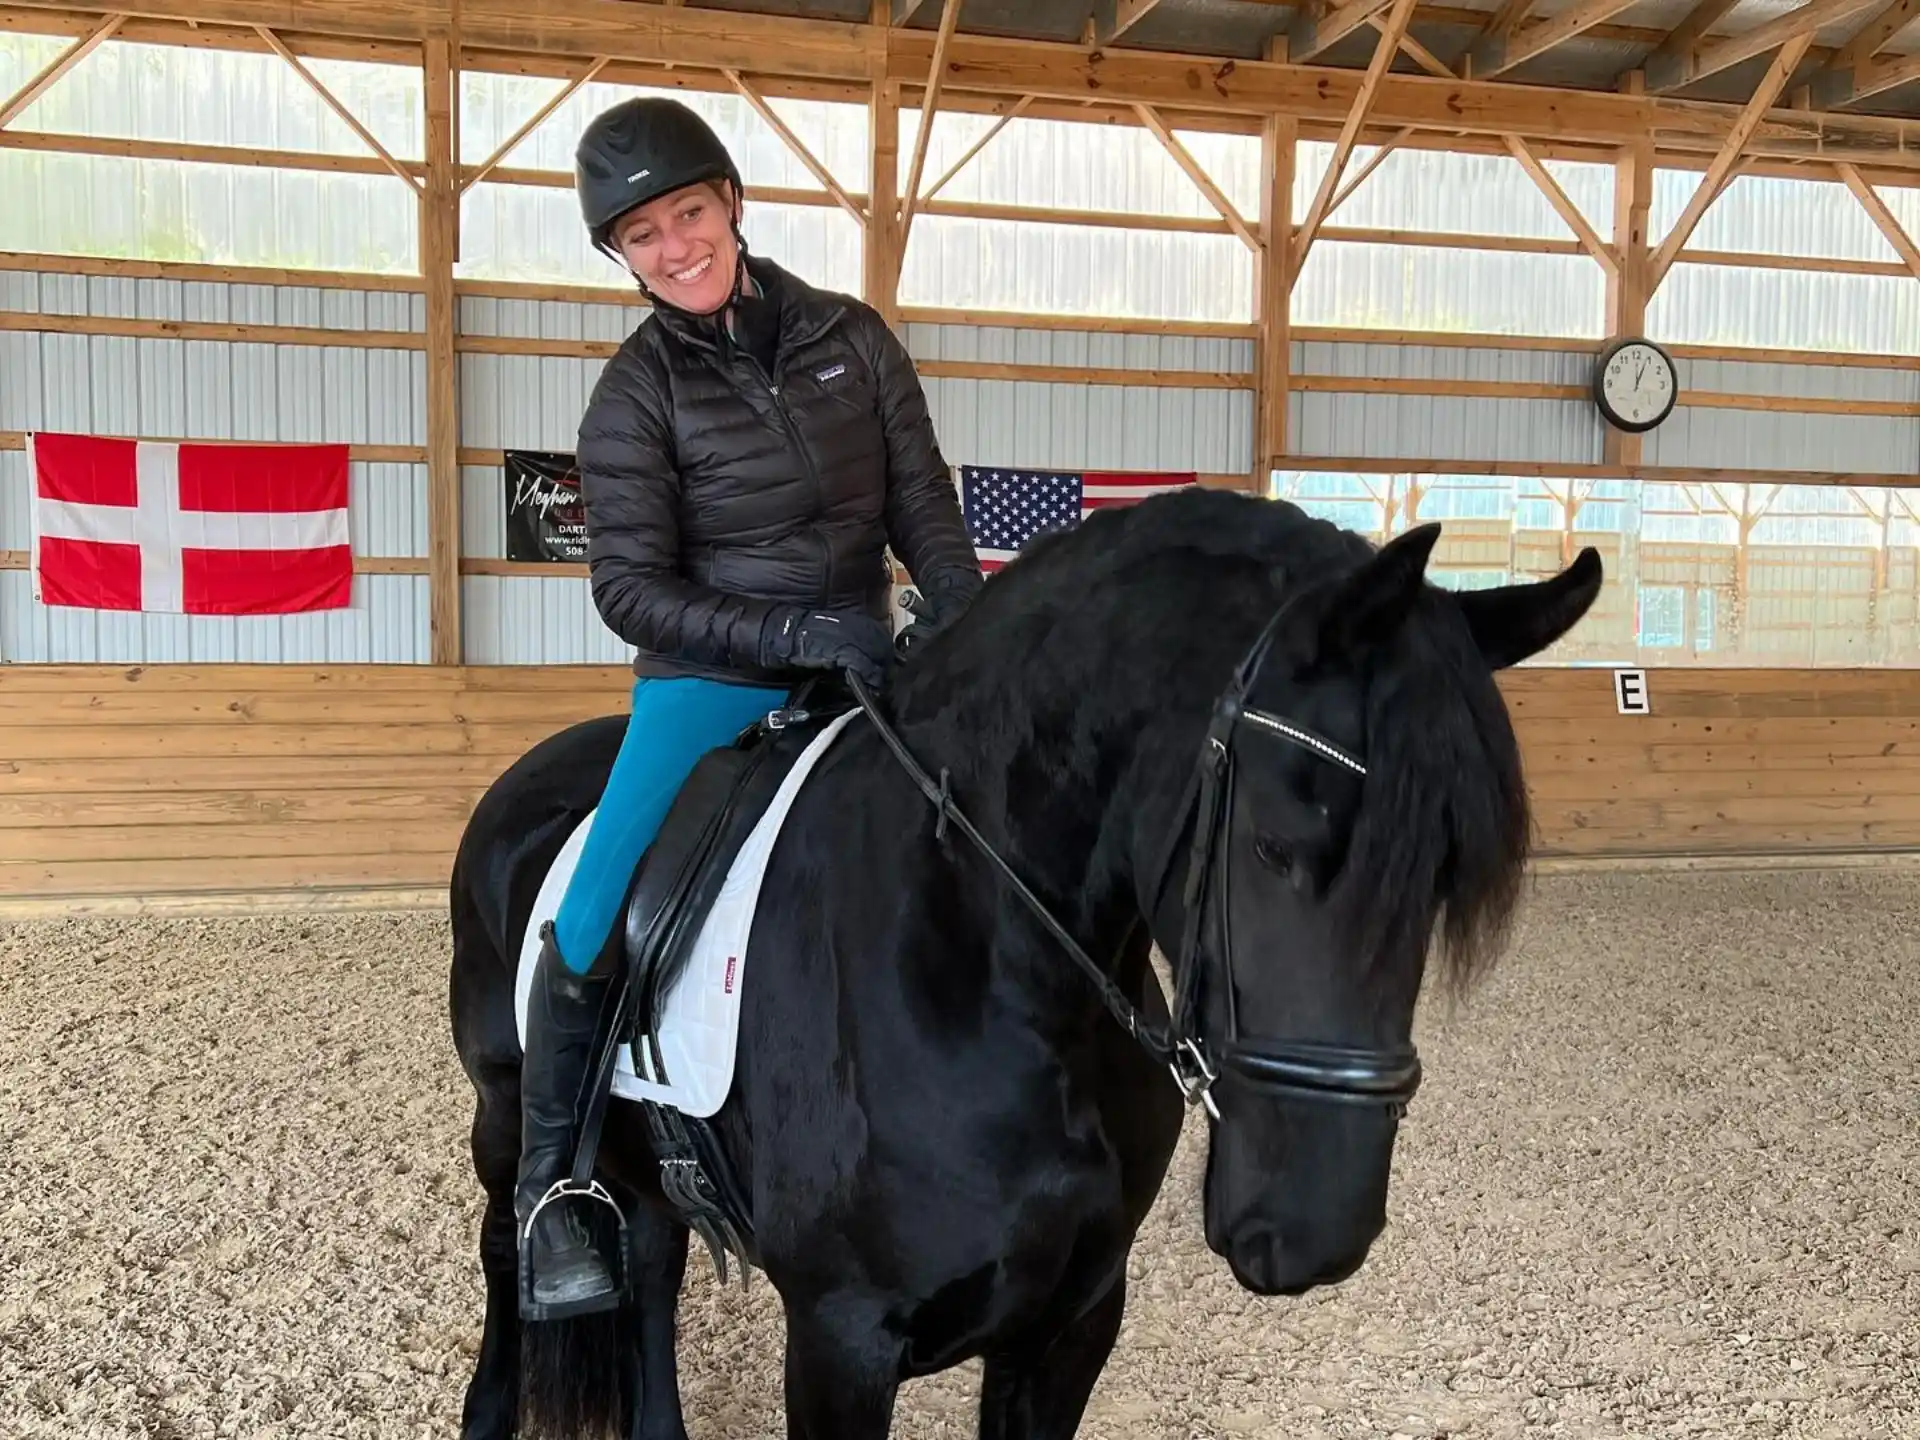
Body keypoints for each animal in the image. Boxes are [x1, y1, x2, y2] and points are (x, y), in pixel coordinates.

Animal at [447, 486, 1603, 1439]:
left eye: (1444, 875)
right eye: (1277, 847)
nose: (1316, 1232)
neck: (992, 978)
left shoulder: (1073, 1320)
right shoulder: (840, 1340)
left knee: (651, 1260)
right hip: (506, 1115)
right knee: (512, 1248)